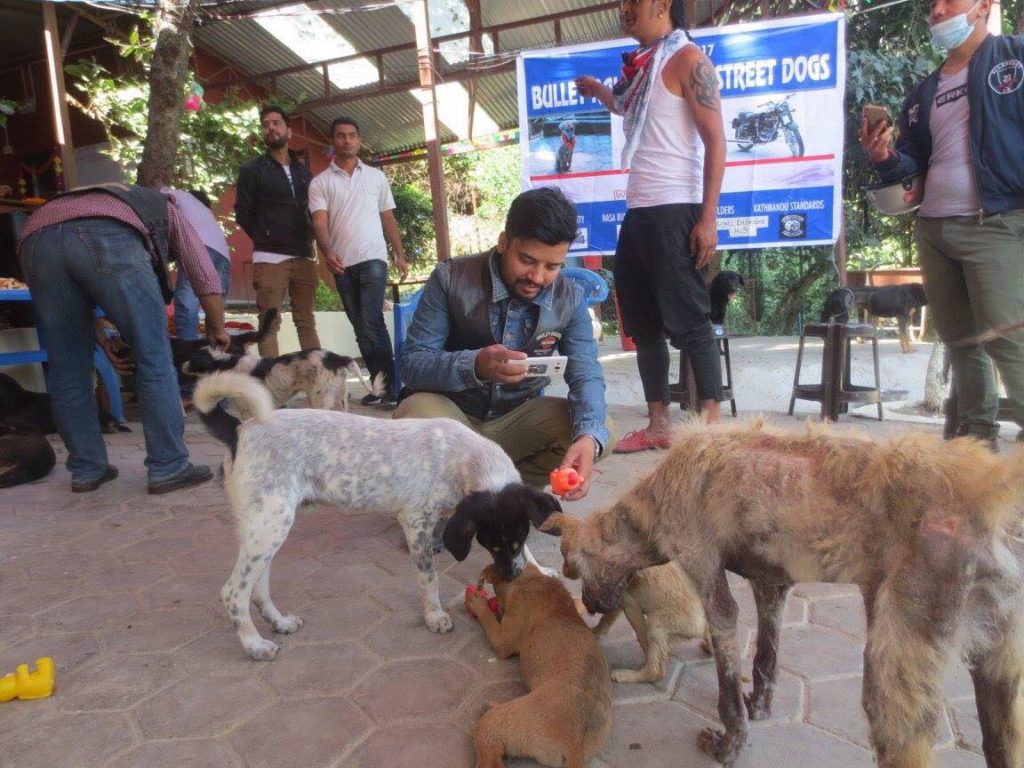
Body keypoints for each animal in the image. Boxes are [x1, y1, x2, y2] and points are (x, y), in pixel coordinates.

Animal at [192, 372, 561, 663]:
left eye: (517, 539)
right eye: (489, 545)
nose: (512, 577)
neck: (464, 458)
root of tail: (239, 429)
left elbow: (527, 550)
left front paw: (540, 569)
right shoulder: (415, 523)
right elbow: (429, 578)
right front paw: (434, 615)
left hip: (265, 527)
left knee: (257, 588)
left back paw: (279, 623)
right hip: (270, 526)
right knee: (233, 592)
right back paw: (255, 644)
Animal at [466, 565, 614, 768]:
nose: (498, 607)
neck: (531, 578)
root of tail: (575, 742)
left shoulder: (502, 641)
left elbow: (489, 620)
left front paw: (479, 604)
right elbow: (577, 604)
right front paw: (580, 605)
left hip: (497, 723)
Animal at [528, 421, 1024, 768]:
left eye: (574, 569)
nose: (593, 608)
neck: (655, 497)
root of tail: (985, 495)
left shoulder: (714, 591)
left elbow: (728, 689)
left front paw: (730, 745)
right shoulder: (771, 586)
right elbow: (766, 660)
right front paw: (760, 709)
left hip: (893, 684)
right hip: (1000, 679)